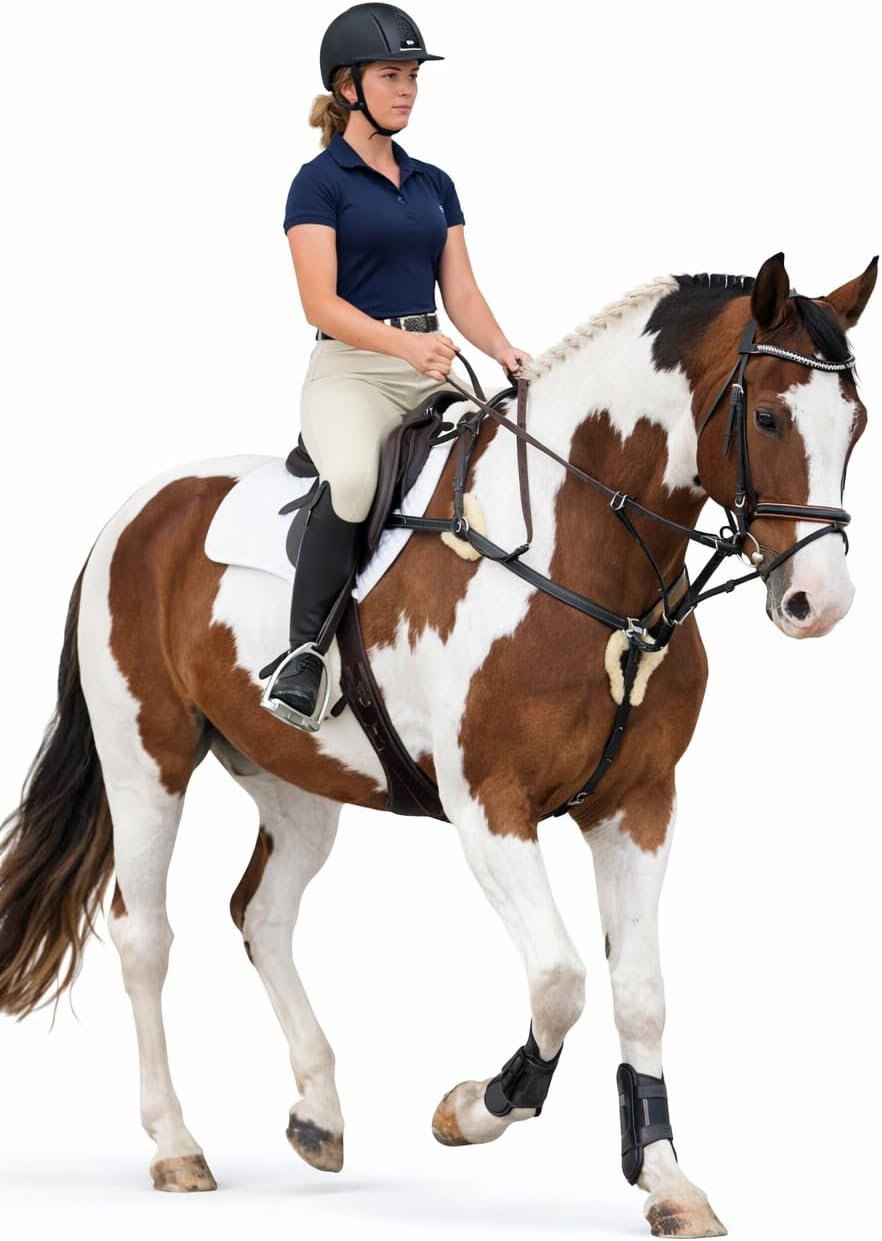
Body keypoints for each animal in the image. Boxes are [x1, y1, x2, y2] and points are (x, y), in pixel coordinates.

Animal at [0, 251, 874, 1237]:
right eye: (766, 416)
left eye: (856, 424)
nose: (820, 602)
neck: (579, 554)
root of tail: (138, 510)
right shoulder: (489, 804)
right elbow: (560, 977)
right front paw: (475, 1105)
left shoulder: (637, 804)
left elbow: (641, 993)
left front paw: (667, 1181)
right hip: (145, 759)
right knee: (144, 933)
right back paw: (177, 1144)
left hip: (297, 779)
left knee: (263, 913)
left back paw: (319, 1115)